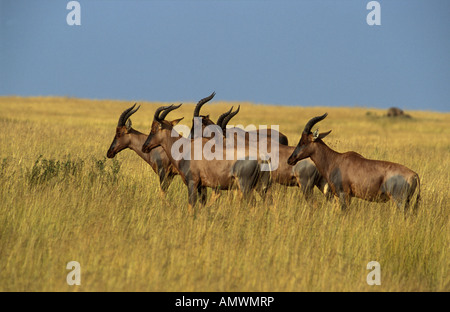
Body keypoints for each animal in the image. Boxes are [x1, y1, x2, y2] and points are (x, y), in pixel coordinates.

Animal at [288, 113, 422, 211]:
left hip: (399, 201)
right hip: (406, 202)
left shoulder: (343, 195)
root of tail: (414, 175)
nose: (290, 159)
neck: (335, 160)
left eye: (303, 141)